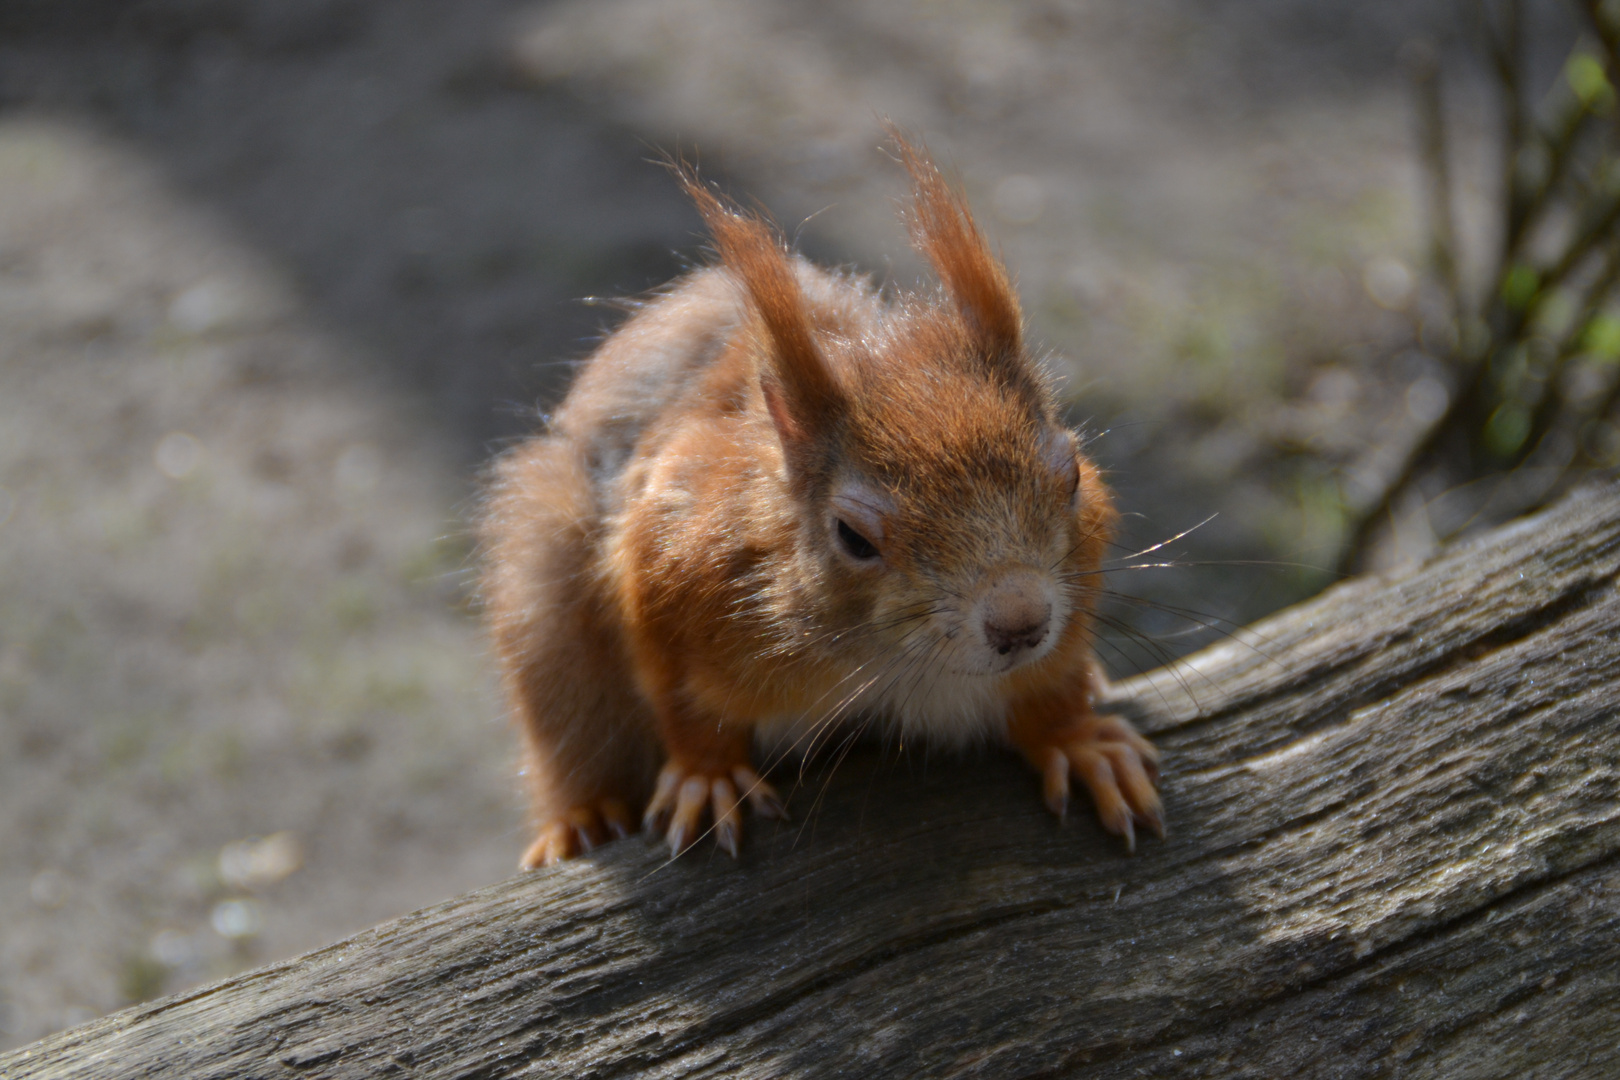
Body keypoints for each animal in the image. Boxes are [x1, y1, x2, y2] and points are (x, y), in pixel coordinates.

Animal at [479, 135, 1166, 867]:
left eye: (1071, 477)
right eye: (853, 537)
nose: (1021, 622)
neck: (886, 664)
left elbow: (1048, 689)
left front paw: (1079, 740)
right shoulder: (671, 567)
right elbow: (685, 703)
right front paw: (707, 775)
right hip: (549, 621)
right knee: (575, 743)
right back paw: (581, 820)